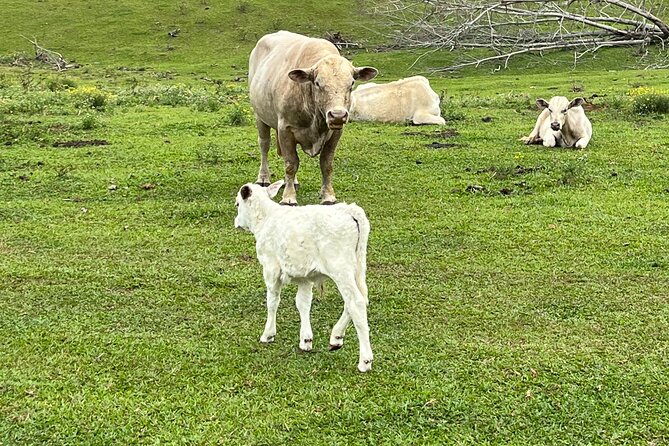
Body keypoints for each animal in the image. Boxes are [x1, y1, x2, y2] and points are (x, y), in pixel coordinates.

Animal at [232, 179, 374, 372]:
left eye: (237, 204)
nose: (236, 222)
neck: (267, 219)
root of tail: (350, 211)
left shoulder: (270, 268)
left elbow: (272, 301)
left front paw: (268, 334)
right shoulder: (305, 276)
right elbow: (303, 303)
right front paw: (306, 340)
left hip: (340, 267)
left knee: (356, 302)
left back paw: (365, 360)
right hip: (359, 265)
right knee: (359, 299)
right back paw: (336, 336)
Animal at [248, 31, 378, 206]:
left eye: (351, 83)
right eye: (317, 83)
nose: (337, 115)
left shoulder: (336, 133)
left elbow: (326, 164)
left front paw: (328, 195)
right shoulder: (285, 129)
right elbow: (290, 164)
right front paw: (288, 197)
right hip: (260, 116)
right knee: (264, 145)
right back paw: (263, 177)